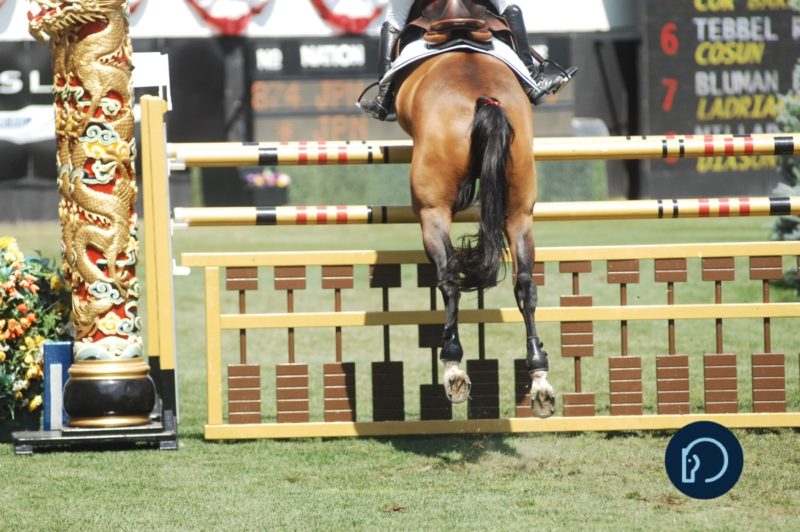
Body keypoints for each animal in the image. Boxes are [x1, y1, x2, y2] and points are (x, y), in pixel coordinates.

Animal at [394, 50, 555, 417]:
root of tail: (485, 100)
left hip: (432, 210)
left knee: (449, 278)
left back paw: (453, 367)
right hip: (519, 209)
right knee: (526, 285)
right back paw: (539, 377)